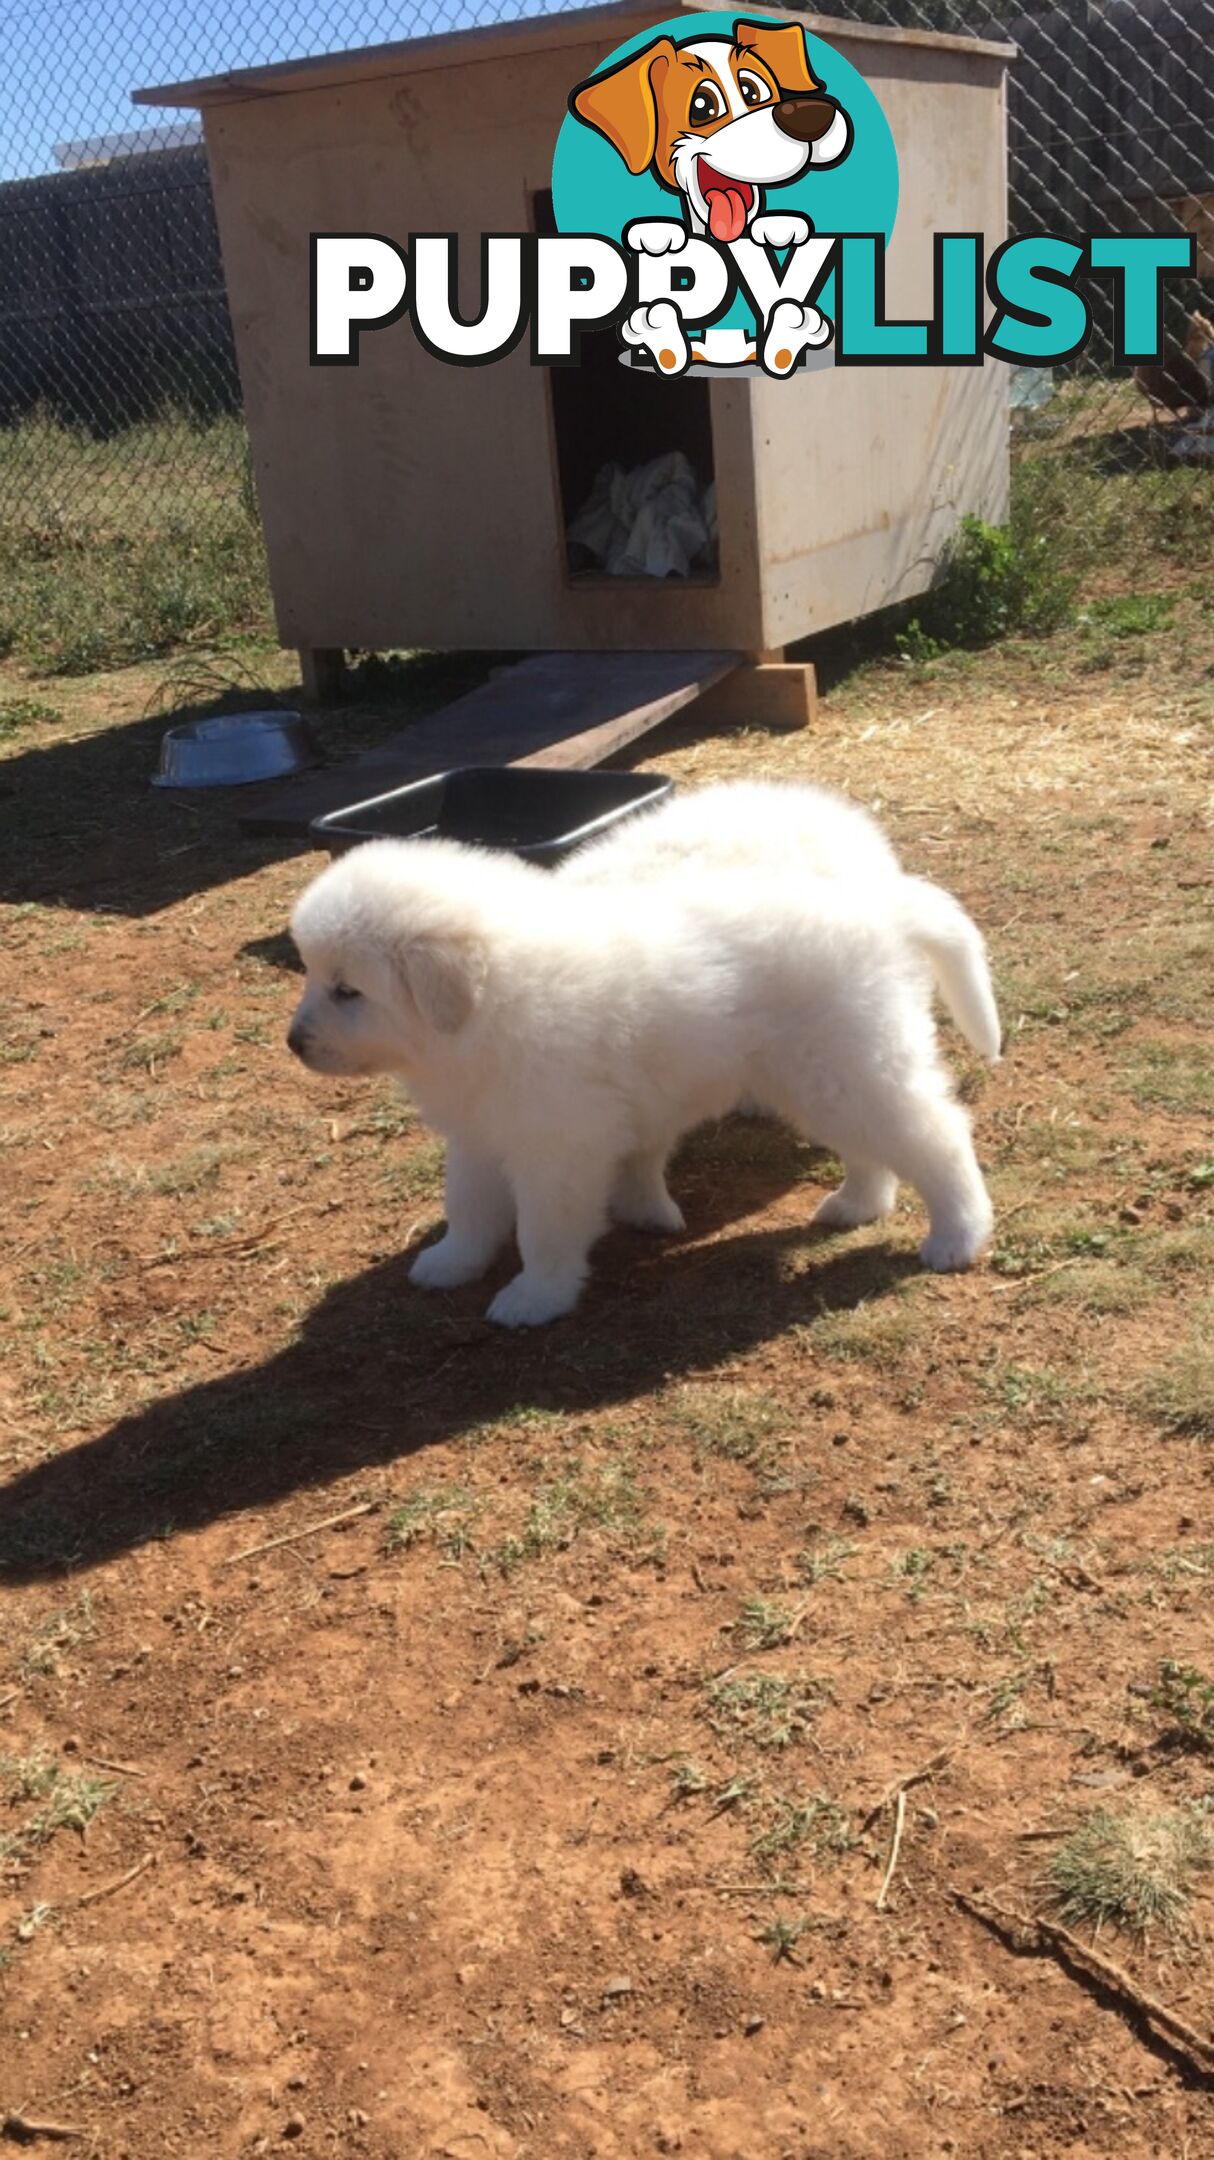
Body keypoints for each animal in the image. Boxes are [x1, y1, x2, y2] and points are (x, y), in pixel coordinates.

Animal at [287, 833, 997, 1321]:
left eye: (348, 990)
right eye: (313, 976)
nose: (294, 1044)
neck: (488, 1004)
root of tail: (882, 910)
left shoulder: (557, 1148)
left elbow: (542, 1230)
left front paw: (534, 1298)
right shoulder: (481, 1130)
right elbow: (467, 1206)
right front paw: (450, 1263)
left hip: (847, 1067)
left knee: (936, 1137)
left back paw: (958, 1234)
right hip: (826, 1074)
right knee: (871, 1147)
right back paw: (858, 1204)